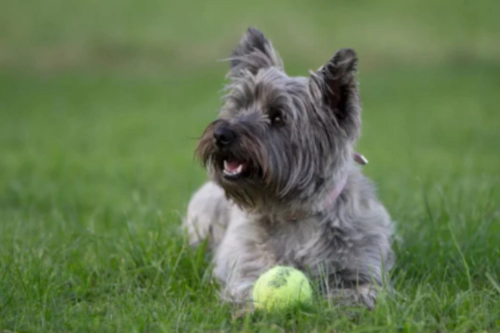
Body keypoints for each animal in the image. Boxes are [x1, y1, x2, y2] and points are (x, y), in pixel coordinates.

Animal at [185, 27, 394, 308]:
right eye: (240, 106)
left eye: (278, 118)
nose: (221, 134)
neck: (296, 214)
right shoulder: (247, 265)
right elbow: (246, 288)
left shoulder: (363, 269)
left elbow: (358, 292)